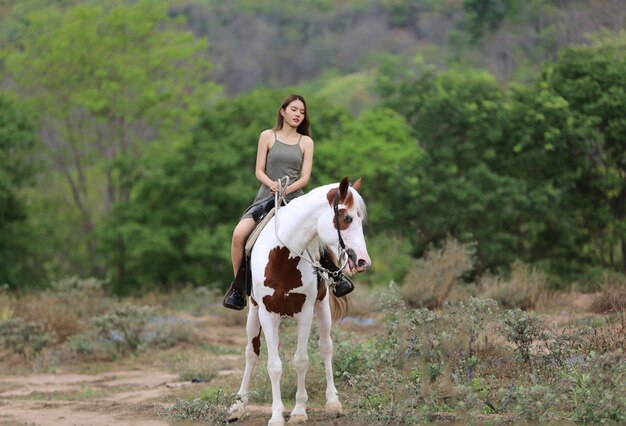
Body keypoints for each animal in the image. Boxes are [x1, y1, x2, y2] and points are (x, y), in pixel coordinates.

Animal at [227, 177, 368, 426]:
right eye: (347, 218)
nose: (363, 260)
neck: (283, 256)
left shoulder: (305, 313)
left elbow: (301, 360)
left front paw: (299, 411)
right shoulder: (267, 314)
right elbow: (273, 365)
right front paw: (275, 415)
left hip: (322, 309)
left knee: (326, 348)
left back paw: (333, 402)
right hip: (254, 314)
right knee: (251, 354)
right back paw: (238, 405)